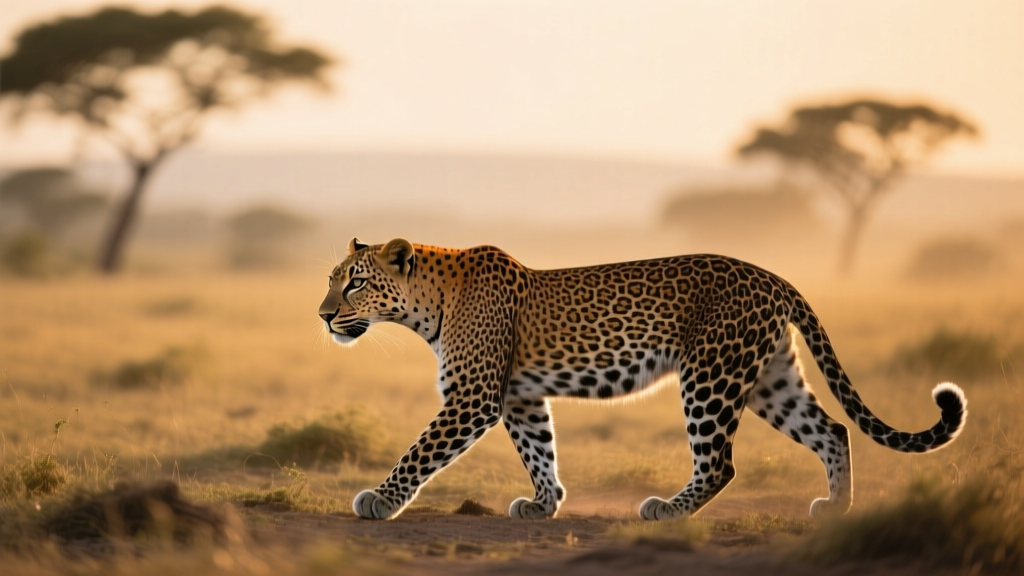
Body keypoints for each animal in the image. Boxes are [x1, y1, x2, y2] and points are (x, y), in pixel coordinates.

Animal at [319, 238, 968, 521]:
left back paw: (668, 509)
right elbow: (539, 450)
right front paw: (545, 504)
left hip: (710, 375)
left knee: (720, 463)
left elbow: (420, 450)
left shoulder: (474, 397)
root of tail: (774, 277)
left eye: (354, 282)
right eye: (332, 280)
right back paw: (837, 509)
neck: (426, 304)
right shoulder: (520, 397)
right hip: (769, 379)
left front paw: (380, 500)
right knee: (833, 431)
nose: (323, 315)